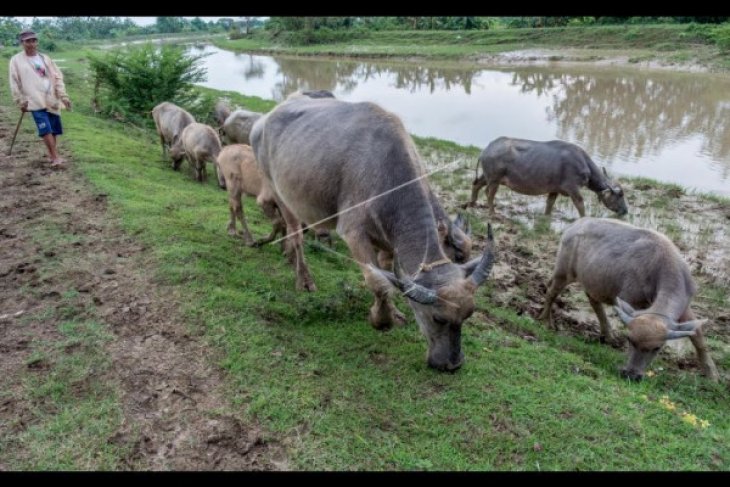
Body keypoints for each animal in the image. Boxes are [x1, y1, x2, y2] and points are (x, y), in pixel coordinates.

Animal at [250, 95, 494, 372]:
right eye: (437, 318)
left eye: (469, 314)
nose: (452, 364)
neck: (388, 175)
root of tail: (263, 120)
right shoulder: (354, 234)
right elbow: (377, 281)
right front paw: (381, 319)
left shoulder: (388, 243)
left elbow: (390, 277)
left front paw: (394, 311)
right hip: (279, 190)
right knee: (295, 234)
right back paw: (303, 278)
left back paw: (288, 256)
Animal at [466, 136, 624, 218]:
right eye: (620, 195)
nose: (625, 211)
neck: (583, 164)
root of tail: (486, 149)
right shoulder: (573, 189)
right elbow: (580, 204)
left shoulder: (554, 189)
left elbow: (550, 203)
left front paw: (547, 217)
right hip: (494, 179)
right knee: (489, 193)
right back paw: (492, 213)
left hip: (487, 176)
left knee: (476, 184)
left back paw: (472, 203)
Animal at [536, 219, 716, 384]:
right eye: (630, 340)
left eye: (657, 348)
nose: (631, 375)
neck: (662, 267)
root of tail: (574, 225)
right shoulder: (630, 300)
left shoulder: (685, 307)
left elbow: (698, 337)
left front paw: (712, 375)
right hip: (563, 272)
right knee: (551, 292)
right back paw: (545, 320)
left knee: (593, 301)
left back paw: (608, 336)